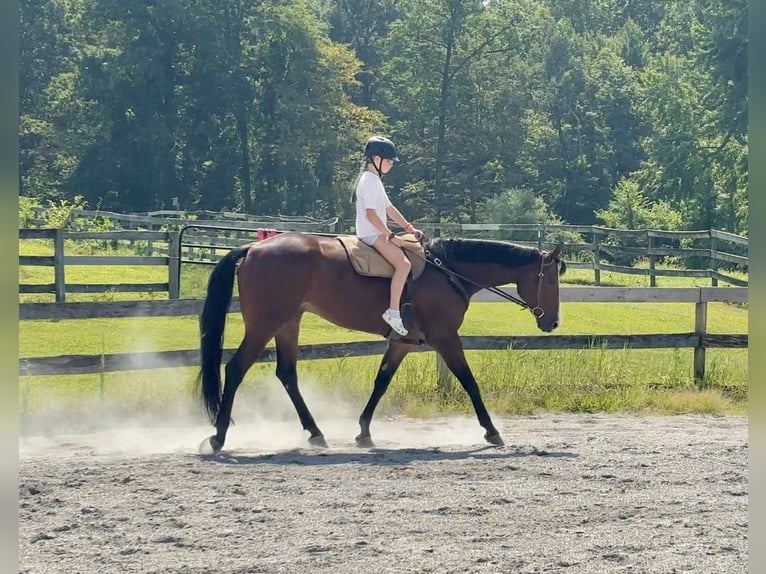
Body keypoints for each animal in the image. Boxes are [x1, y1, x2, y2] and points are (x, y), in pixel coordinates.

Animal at [196, 232, 566, 453]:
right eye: (551, 282)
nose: (553, 322)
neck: (447, 272)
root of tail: (253, 247)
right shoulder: (446, 337)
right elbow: (469, 382)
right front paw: (491, 431)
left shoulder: (402, 342)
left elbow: (382, 381)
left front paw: (363, 432)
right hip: (265, 324)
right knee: (236, 369)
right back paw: (218, 437)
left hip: (288, 323)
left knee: (287, 374)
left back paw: (316, 433)